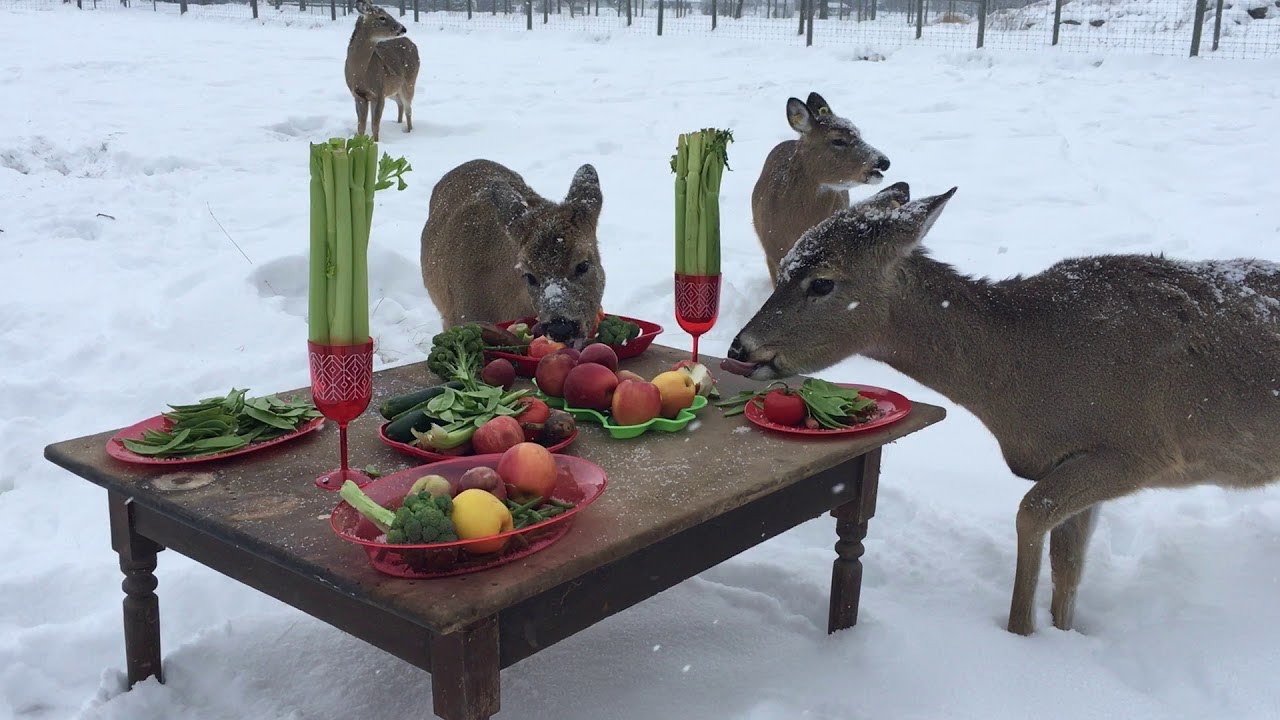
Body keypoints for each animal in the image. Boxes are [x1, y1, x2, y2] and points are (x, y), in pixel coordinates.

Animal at [346, 0, 420, 143]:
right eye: (382, 17)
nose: (403, 28)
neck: (361, 74)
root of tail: (412, 43)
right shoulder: (358, 95)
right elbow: (361, 126)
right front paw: (360, 142)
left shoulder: (379, 93)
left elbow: (375, 125)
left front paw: (376, 143)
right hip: (392, 90)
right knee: (400, 104)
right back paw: (398, 123)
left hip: (409, 82)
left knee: (408, 108)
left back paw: (409, 132)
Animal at [722, 181, 1280, 636]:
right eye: (785, 268)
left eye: (822, 282)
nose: (739, 347)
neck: (1025, 373)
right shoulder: (1074, 455)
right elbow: (1068, 564)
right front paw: (1064, 635)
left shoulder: (1143, 447)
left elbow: (1031, 515)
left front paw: (1021, 637)